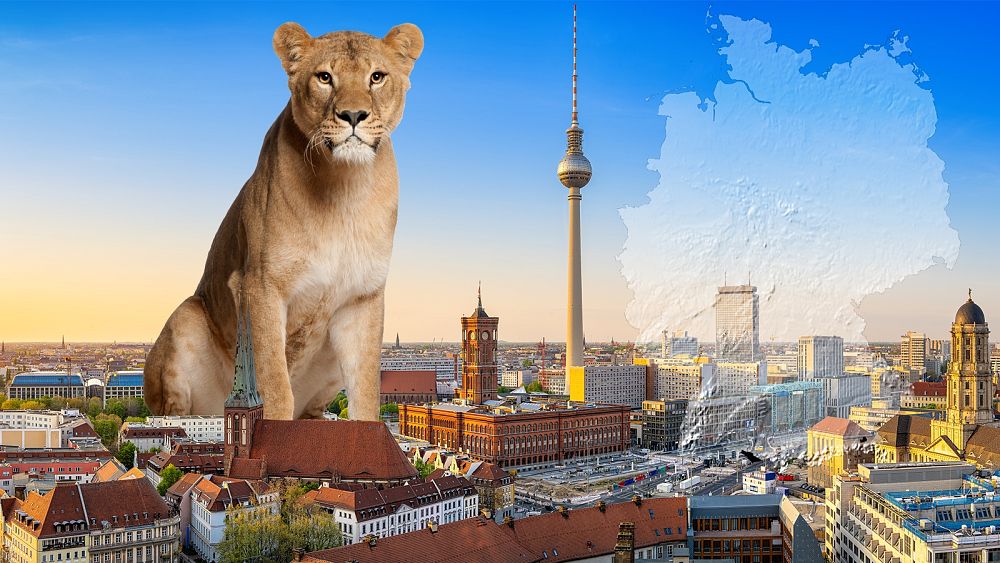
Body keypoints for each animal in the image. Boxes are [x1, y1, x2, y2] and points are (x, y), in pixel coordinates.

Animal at [143, 22, 423, 421]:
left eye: (377, 77)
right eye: (325, 77)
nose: (353, 115)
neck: (343, 191)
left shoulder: (363, 299)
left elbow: (366, 391)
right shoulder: (260, 286)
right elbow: (274, 384)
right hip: (187, 317)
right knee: (176, 410)